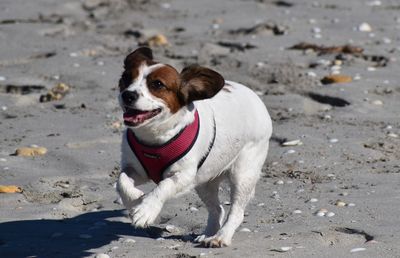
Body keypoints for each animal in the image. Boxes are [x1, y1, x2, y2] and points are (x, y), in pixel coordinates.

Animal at [115, 46, 272, 248]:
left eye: (157, 84)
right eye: (126, 77)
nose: (128, 94)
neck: (154, 137)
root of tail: (252, 94)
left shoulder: (184, 176)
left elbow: (163, 186)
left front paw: (146, 209)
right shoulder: (135, 169)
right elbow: (122, 181)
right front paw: (136, 200)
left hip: (243, 173)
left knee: (236, 212)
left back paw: (221, 237)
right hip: (204, 181)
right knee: (217, 209)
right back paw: (208, 234)